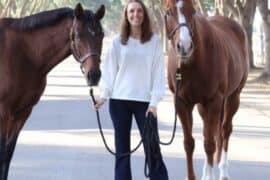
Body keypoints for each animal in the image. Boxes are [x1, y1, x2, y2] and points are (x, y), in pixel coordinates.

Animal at [0, 3, 105, 179]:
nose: (94, 75)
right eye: (77, 36)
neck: (24, 53)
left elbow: (7, 155)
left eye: (101, 35)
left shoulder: (22, 113)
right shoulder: (4, 112)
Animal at [162, 0, 249, 180]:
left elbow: (210, 143)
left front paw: (210, 176)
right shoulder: (182, 103)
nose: (185, 46)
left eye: (193, 11)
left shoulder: (214, 100)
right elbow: (189, 143)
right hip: (203, 107)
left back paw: (223, 171)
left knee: (224, 131)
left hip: (232, 97)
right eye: (168, 12)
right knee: (210, 133)